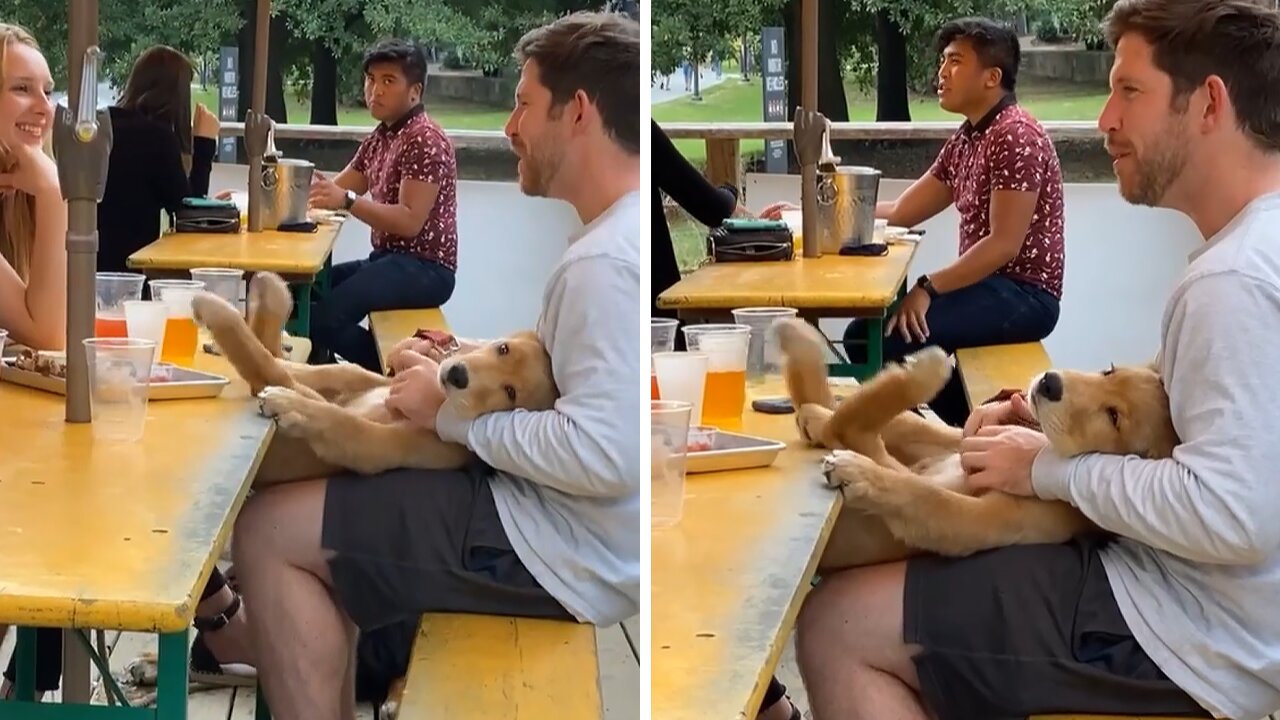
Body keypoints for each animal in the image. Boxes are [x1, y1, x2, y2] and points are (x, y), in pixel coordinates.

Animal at [186, 269, 558, 481]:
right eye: (503, 349)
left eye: (510, 393)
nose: (457, 375)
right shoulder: (355, 378)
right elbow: (302, 366)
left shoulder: (378, 445)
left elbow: (332, 414)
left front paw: (290, 405)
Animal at [768, 316, 1177, 568]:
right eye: (1109, 371)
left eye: (1114, 417)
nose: (1049, 383)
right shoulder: (958, 445)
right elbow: (895, 428)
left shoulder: (977, 518)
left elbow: (923, 494)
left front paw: (861, 474)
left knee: (853, 426)